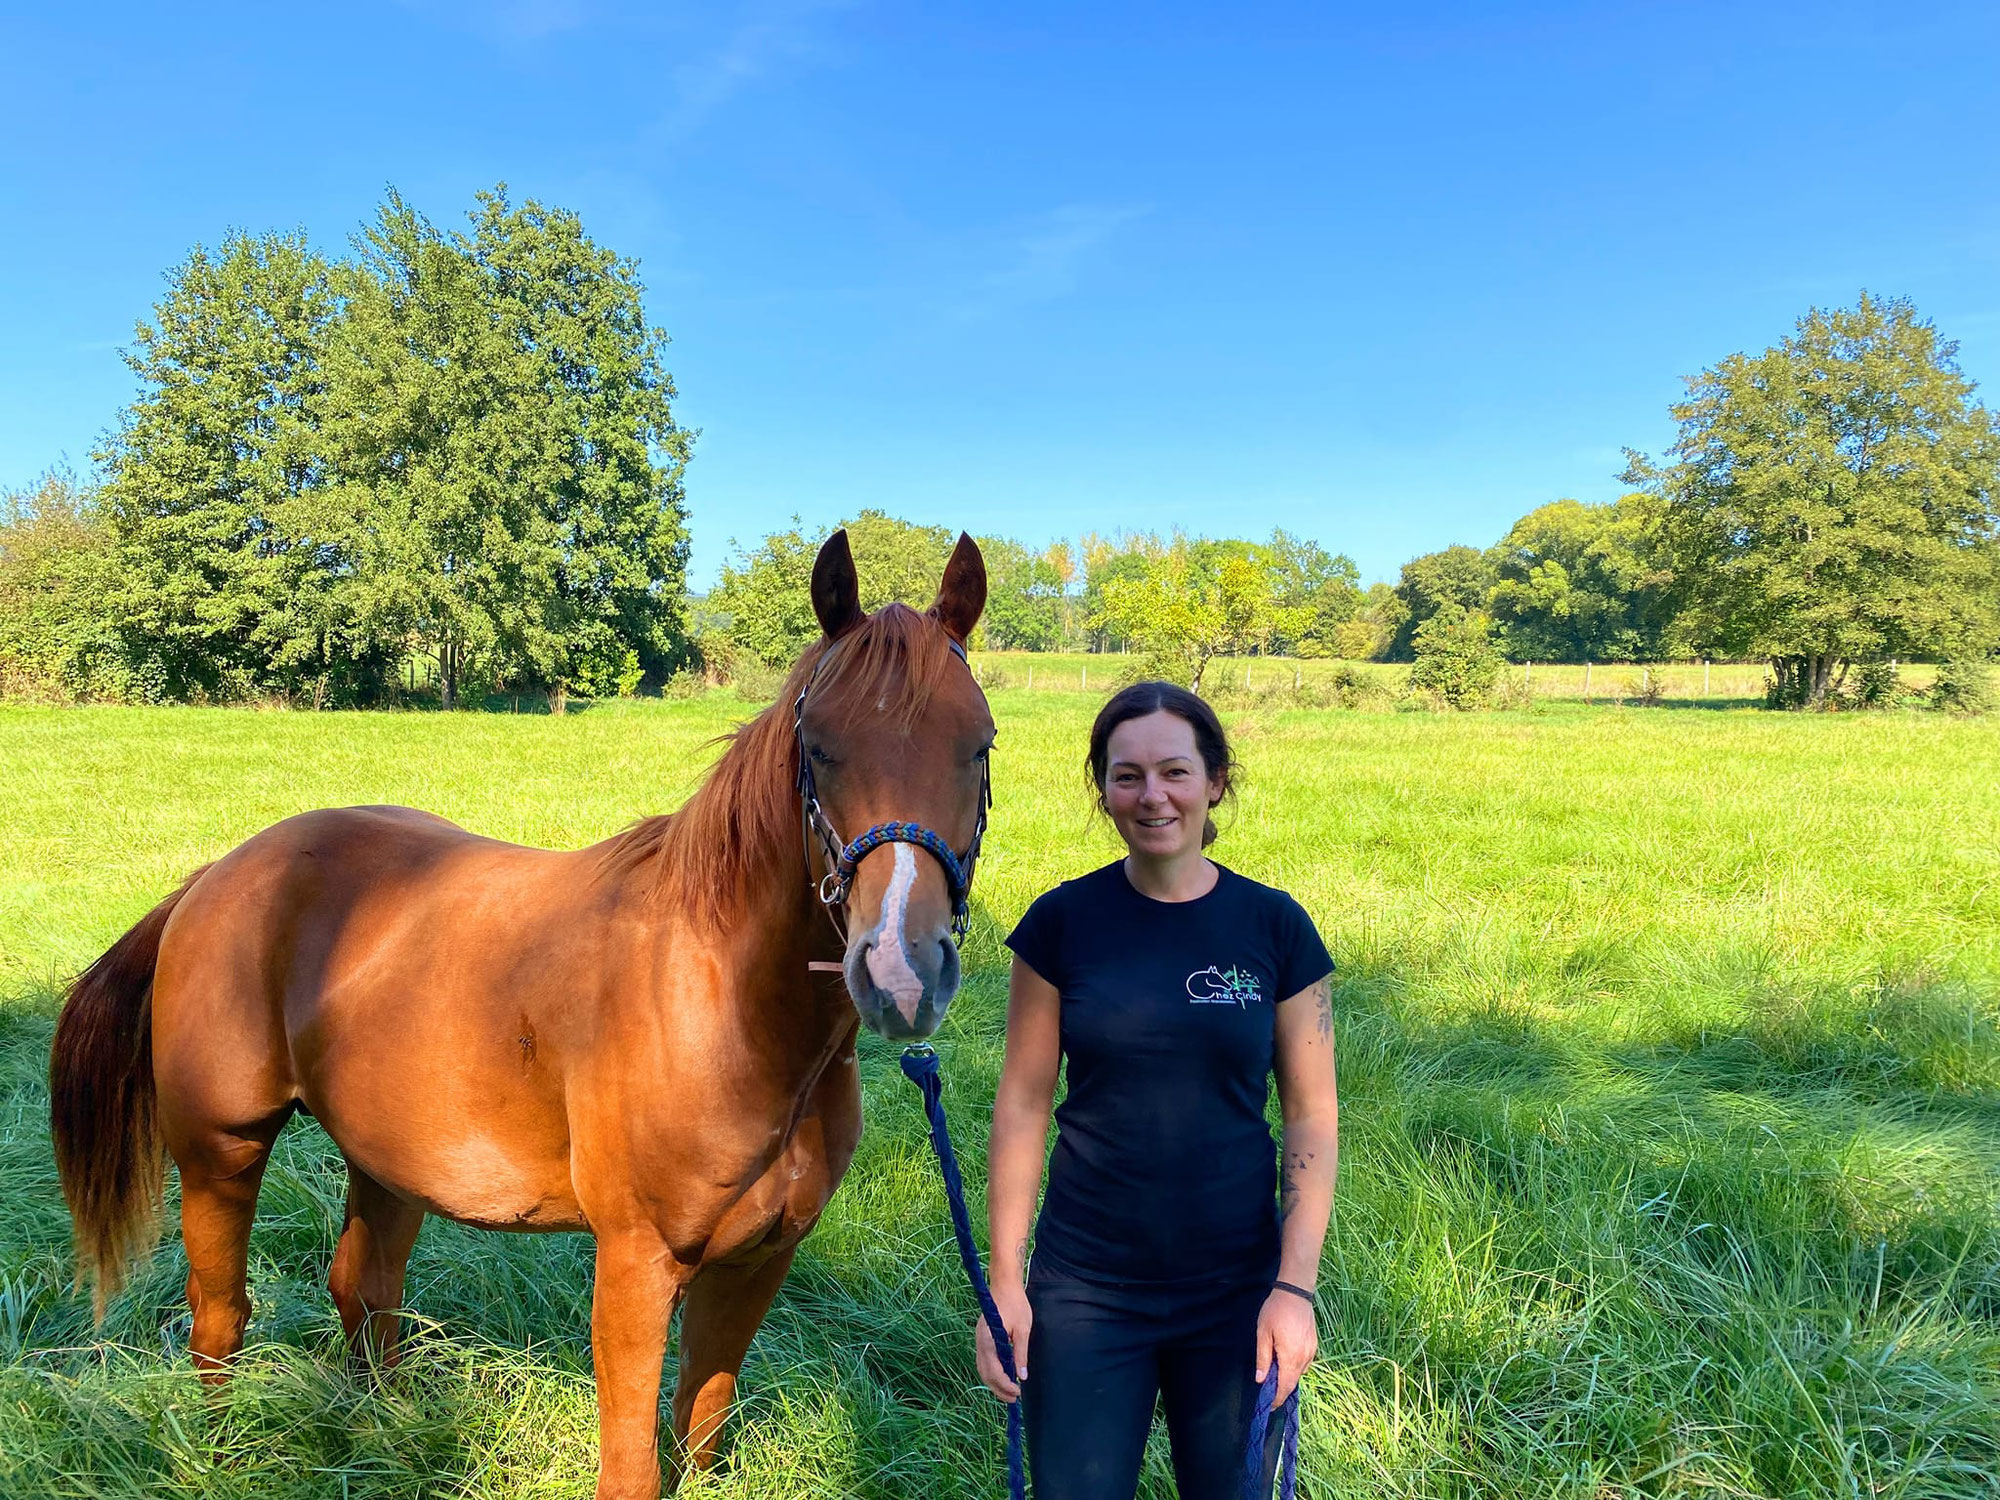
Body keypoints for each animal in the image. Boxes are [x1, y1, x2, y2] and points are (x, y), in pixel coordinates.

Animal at [56, 536, 1000, 1496]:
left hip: (387, 1160)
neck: (723, 1006)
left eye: (980, 744)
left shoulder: (759, 1262)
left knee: (362, 1285)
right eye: (819, 747)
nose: (902, 971)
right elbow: (633, 1464)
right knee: (220, 1317)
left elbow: (701, 1425)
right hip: (221, 1153)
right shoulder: (637, 1266)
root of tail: (210, 879)